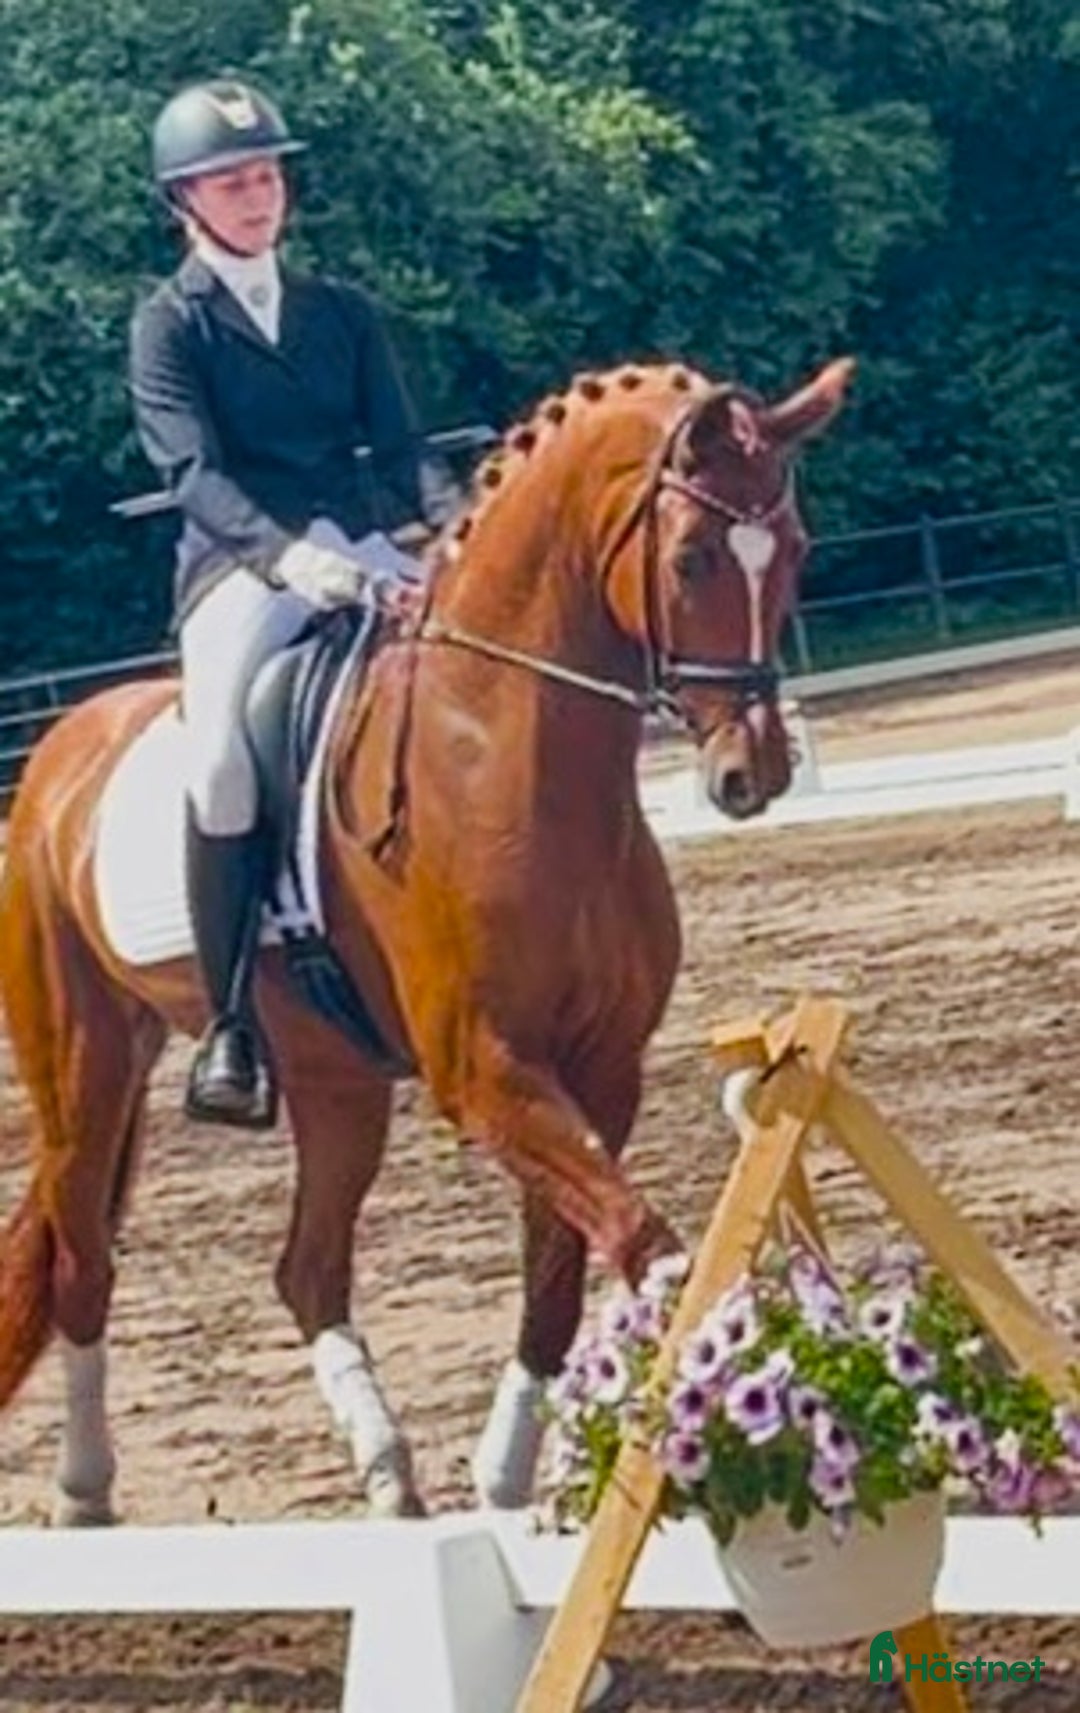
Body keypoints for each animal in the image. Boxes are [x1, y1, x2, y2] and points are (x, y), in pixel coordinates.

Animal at [0, 356, 851, 1524]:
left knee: (307, 1268)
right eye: (691, 556)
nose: (749, 775)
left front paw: (503, 1482)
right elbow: (642, 1240)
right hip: (85, 1067)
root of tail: (62, 745)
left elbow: (558, 1274)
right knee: (84, 1260)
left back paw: (389, 1474)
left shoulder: (601, 1066)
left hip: (336, 1083)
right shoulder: (485, 1069)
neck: (499, 750)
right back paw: (86, 1495)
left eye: (798, 549)